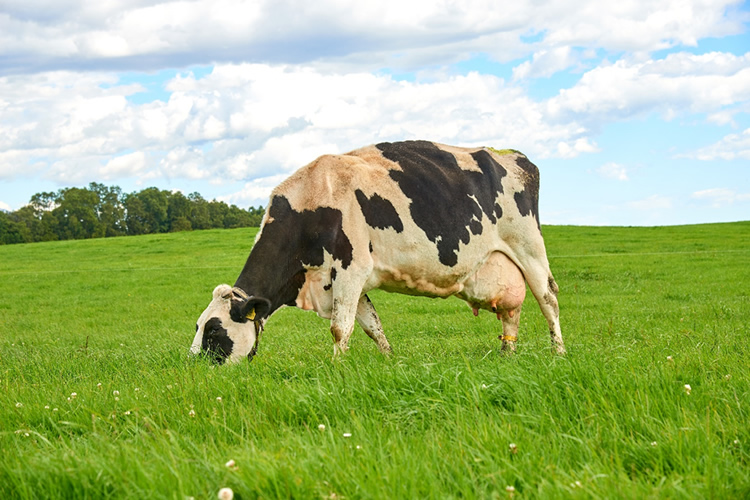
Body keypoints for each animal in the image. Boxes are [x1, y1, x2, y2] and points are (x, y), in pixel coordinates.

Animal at [191, 141, 568, 364]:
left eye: (213, 331)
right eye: (197, 325)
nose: (192, 365)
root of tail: (511, 154)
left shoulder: (351, 267)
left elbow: (340, 328)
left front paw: (336, 369)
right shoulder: (343, 281)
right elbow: (372, 326)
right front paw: (389, 361)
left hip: (529, 247)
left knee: (548, 299)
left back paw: (559, 352)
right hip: (502, 263)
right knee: (511, 311)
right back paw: (507, 353)